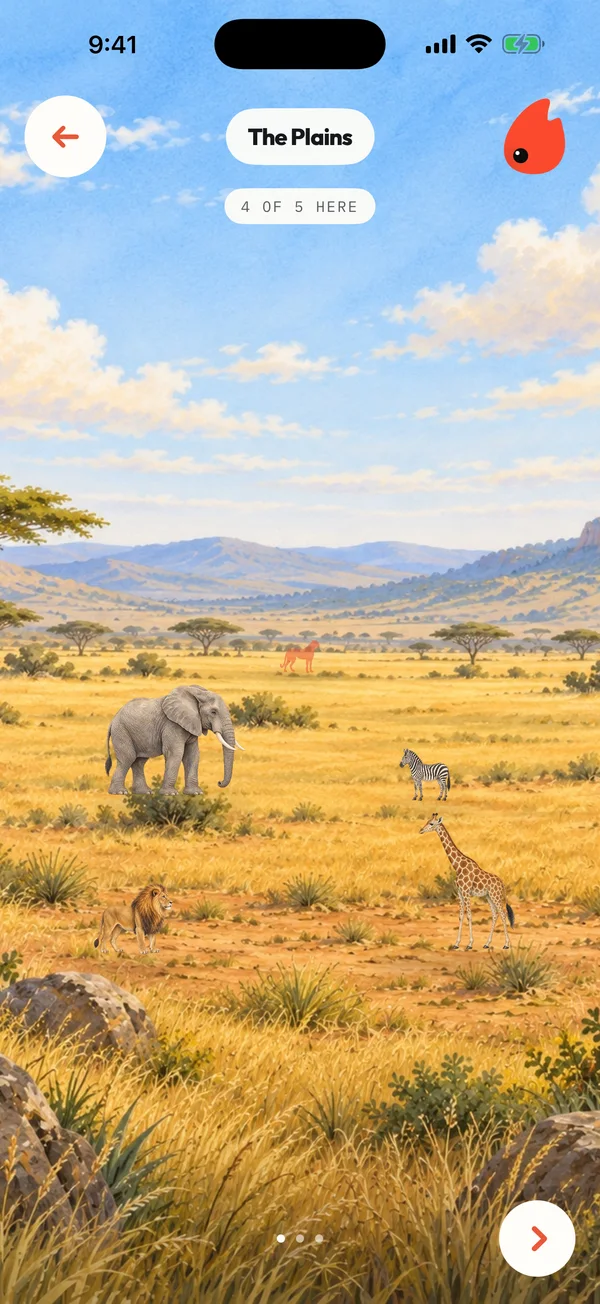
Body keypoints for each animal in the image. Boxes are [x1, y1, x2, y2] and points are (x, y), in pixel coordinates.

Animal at [105, 684, 243, 795]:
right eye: (213, 712)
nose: (219, 782)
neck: (196, 693)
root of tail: (113, 720)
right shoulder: (172, 724)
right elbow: (175, 753)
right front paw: (170, 794)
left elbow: (192, 755)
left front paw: (196, 793)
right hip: (122, 731)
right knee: (127, 758)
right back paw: (119, 792)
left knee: (139, 762)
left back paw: (145, 792)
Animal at [419, 812, 515, 950]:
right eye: (427, 821)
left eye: (431, 823)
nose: (421, 830)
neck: (457, 866)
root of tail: (502, 884)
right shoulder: (460, 893)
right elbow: (461, 916)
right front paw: (456, 943)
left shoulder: (466, 892)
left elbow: (469, 916)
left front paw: (470, 944)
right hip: (489, 897)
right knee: (495, 914)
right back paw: (487, 944)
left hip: (495, 896)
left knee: (502, 913)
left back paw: (506, 944)